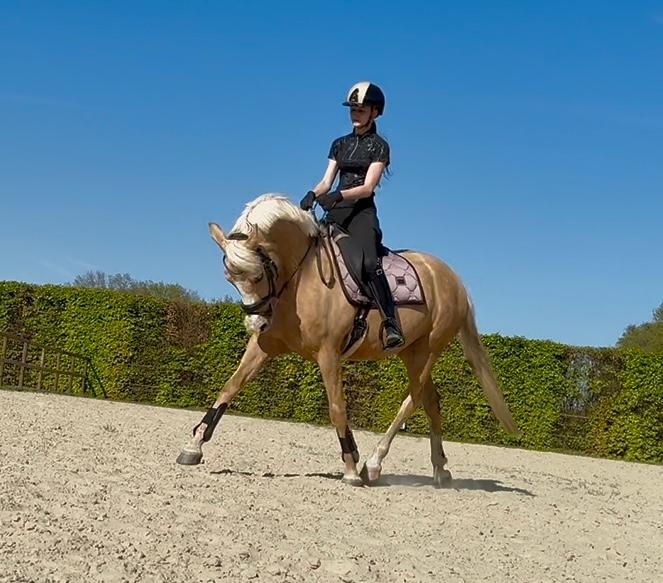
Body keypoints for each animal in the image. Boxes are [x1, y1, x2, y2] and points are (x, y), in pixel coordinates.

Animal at [176, 194, 518, 486]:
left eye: (260, 273)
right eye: (229, 278)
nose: (256, 323)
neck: (301, 278)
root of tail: (454, 279)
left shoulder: (328, 354)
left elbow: (337, 407)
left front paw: (351, 466)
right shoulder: (263, 347)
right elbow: (228, 388)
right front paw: (193, 446)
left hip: (427, 351)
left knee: (413, 399)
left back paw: (374, 464)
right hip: (411, 352)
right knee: (431, 401)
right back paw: (440, 470)